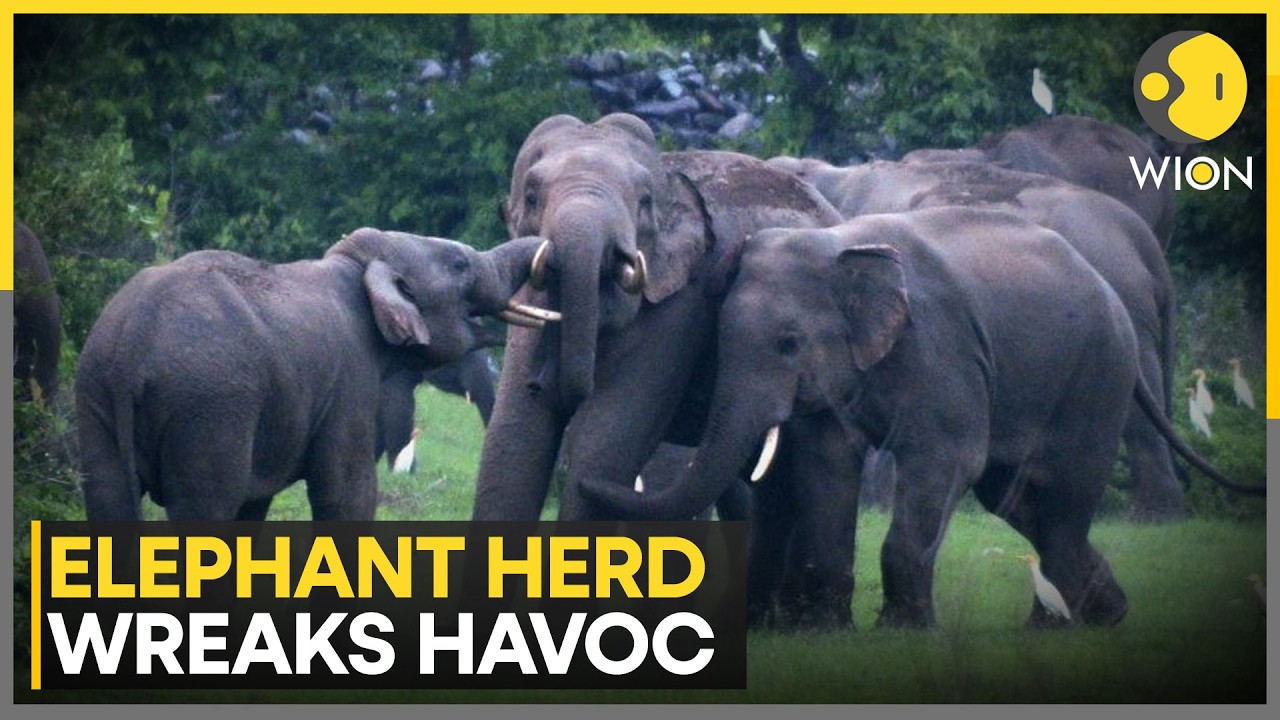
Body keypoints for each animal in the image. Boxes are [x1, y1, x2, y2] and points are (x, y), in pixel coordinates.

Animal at [76, 229, 547, 521]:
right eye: (459, 264)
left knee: (108, 499)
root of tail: (131, 346)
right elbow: (347, 493)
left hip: (95, 393)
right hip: (207, 407)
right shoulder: (350, 377)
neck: (356, 267)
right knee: (204, 506)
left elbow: (255, 503)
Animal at [472, 112, 843, 522]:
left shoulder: (680, 305)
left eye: (644, 202)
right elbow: (514, 440)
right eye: (532, 197)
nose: (543, 381)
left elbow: (603, 443)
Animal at [582, 207, 1259, 629]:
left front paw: (901, 633)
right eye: (718, 346)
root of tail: (1109, 290)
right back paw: (1099, 619)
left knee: (1059, 499)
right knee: (1020, 500)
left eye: (789, 344)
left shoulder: (941, 345)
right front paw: (828, 634)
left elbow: (945, 458)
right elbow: (829, 463)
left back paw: (1060, 630)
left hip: (1095, 379)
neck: (840, 245)